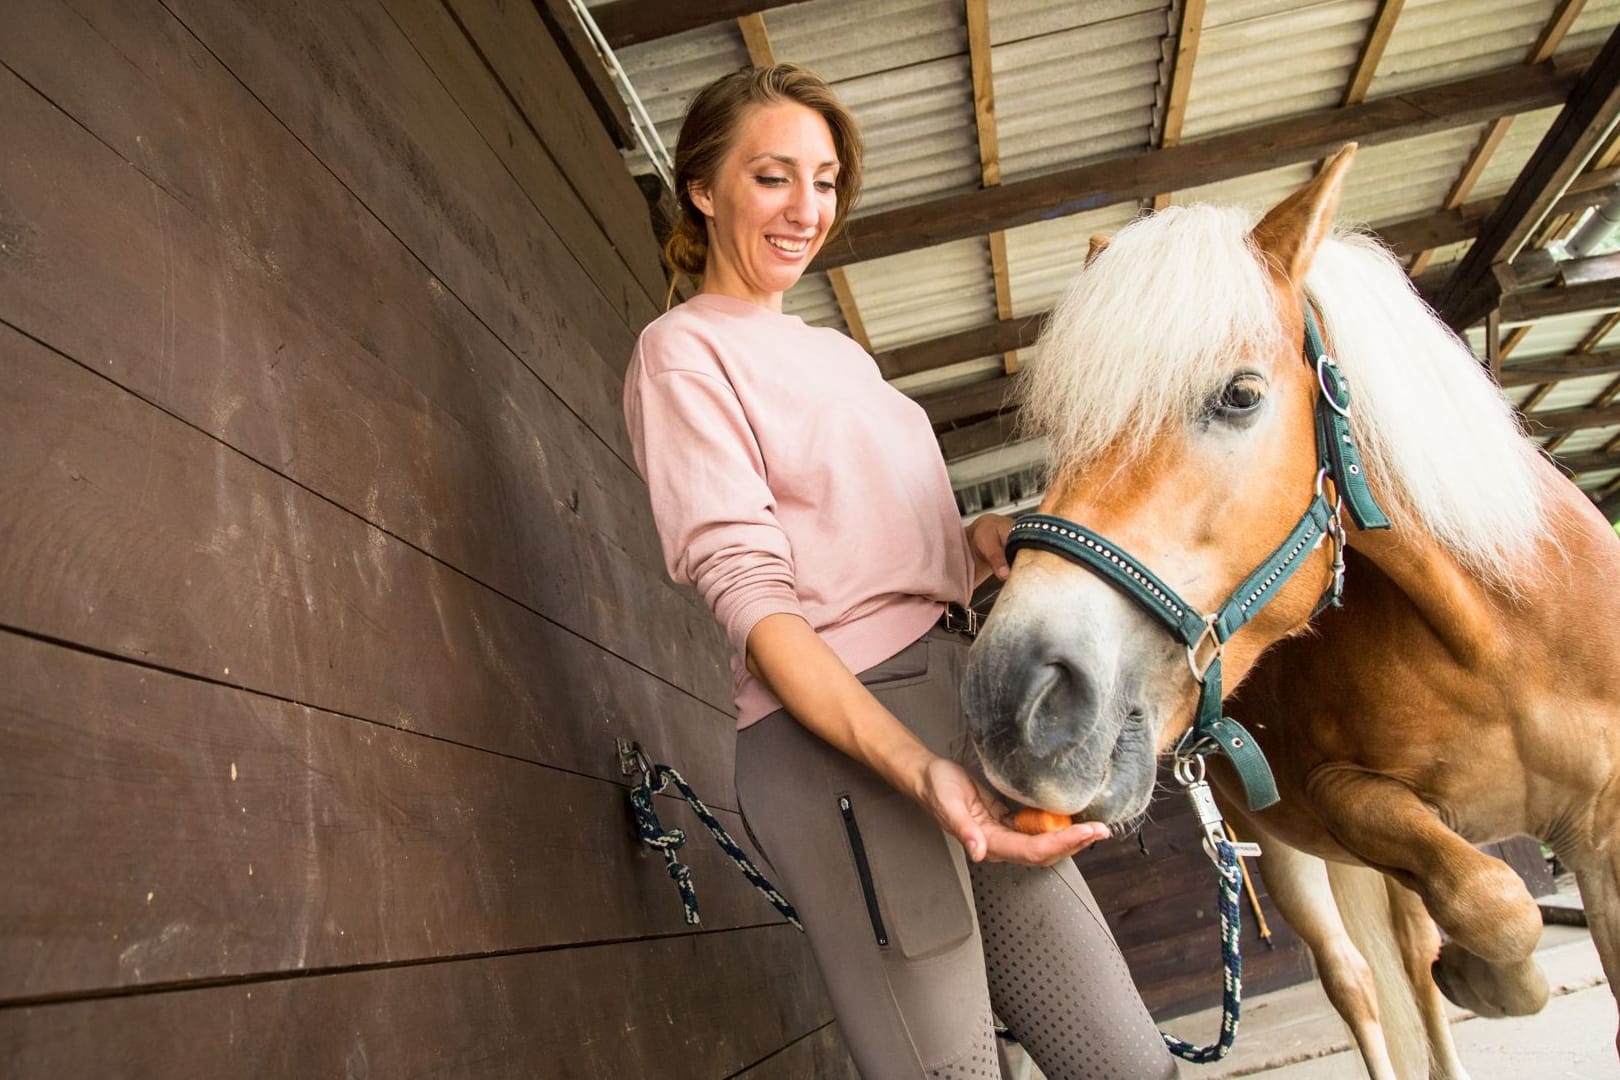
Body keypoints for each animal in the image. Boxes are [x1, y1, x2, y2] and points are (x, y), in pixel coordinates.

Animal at [959, 145, 1620, 1080]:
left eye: (1239, 395)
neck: (1496, 641)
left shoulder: (1604, 833)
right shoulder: (1339, 797)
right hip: (1279, 849)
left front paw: (1481, 977)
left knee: (1409, 960)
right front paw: (1492, 977)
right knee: (1358, 978)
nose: (1012, 701)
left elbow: (1494, 914)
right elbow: (1496, 901)